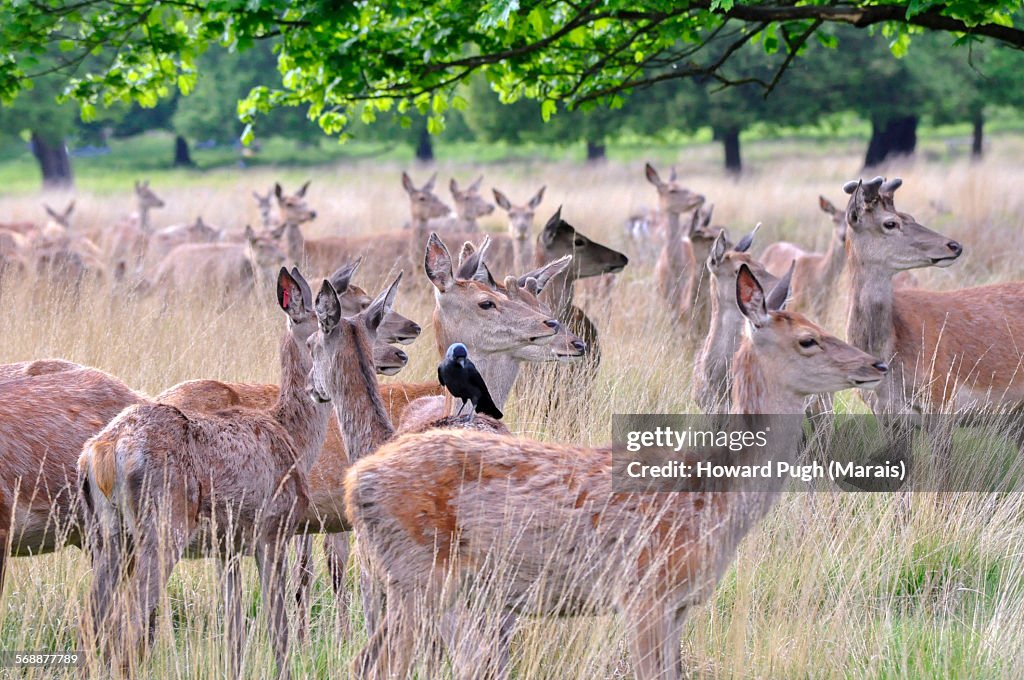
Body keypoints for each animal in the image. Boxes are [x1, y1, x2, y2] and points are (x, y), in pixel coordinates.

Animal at [344, 261, 888, 680]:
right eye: (808, 340)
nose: (877, 364)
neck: (713, 500)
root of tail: (356, 482)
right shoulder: (645, 591)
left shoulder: (679, 603)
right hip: (418, 574)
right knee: (378, 663)